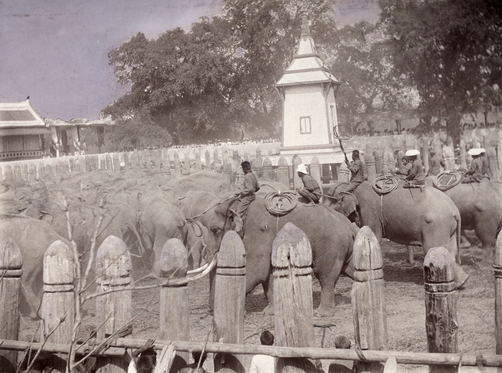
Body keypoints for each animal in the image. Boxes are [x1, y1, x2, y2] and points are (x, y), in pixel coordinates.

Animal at [326, 180, 470, 288]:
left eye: (331, 201)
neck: (351, 187)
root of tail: (454, 209)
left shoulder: (369, 211)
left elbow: (375, 236)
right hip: (448, 228)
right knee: (451, 251)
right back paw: (462, 282)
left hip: (436, 226)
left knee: (435, 249)